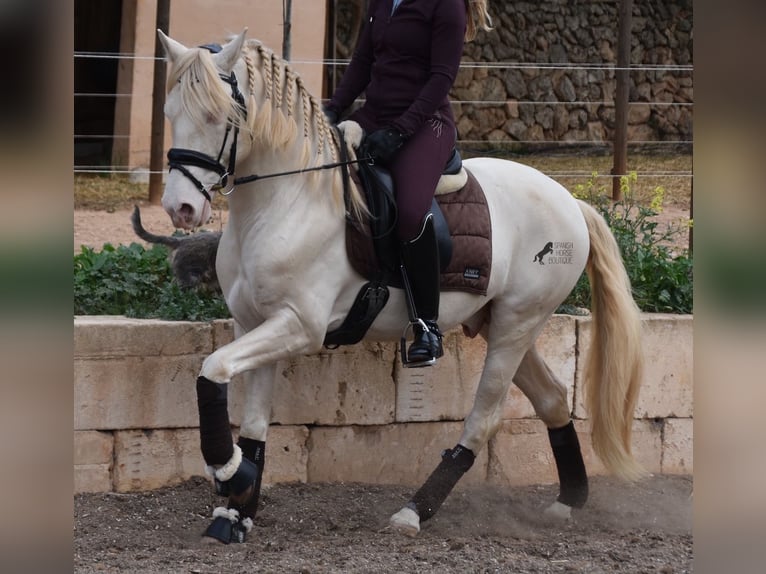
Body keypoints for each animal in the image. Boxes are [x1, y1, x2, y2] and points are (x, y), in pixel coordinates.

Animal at [158, 30, 648, 544]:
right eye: (170, 113)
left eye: (217, 117)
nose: (180, 209)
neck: (286, 201)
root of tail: (570, 200)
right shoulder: (252, 323)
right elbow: (249, 417)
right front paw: (236, 510)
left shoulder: (298, 326)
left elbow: (211, 370)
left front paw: (229, 474)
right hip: (501, 322)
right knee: (552, 397)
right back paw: (568, 500)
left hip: (518, 322)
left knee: (484, 418)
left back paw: (415, 510)